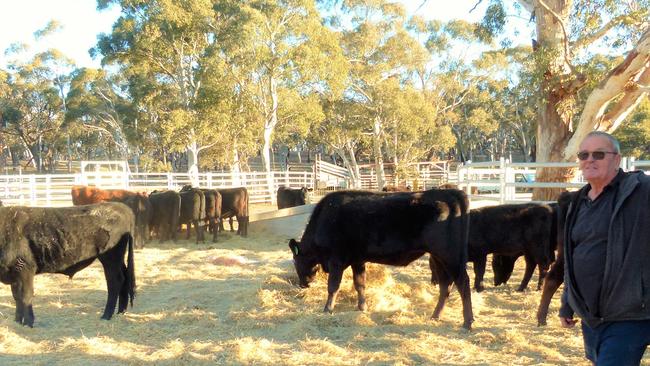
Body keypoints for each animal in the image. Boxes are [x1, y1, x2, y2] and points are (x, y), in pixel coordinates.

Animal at [0, 202, 135, 328]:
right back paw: (121, 312)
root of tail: (122, 207)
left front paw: (28, 323)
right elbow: (17, 297)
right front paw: (17, 321)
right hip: (118, 259)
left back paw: (106, 315)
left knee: (115, 282)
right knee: (124, 278)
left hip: (110, 259)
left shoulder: (25, 268)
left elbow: (25, 296)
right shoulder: (14, 274)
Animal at [288, 190, 470, 330]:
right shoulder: (358, 261)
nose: (303, 284)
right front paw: (362, 307)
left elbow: (333, 287)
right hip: (439, 258)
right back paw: (435, 316)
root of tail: (450, 192)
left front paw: (327, 309)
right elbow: (360, 284)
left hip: (449, 257)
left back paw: (467, 322)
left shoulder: (336, 261)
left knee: (462, 282)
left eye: (295, 261)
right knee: (445, 286)